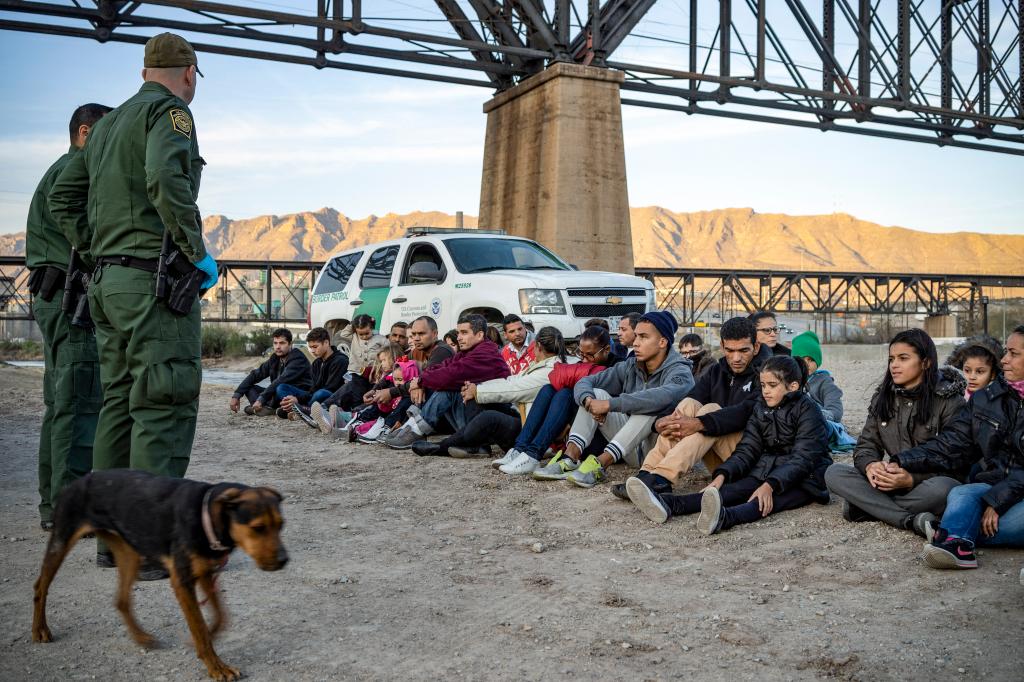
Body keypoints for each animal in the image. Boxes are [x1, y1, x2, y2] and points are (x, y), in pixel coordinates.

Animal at [32, 466, 288, 679]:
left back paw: (141, 637)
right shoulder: (182, 581)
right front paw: (216, 666)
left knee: (121, 600)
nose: (284, 560)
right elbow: (200, 629)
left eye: (281, 524)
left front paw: (207, 638)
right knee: (40, 586)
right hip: (61, 540)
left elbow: (220, 616)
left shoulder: (205, 573)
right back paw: (40, 630)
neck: (204, 515)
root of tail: (77, 481)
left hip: (129, 555)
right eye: (258, 528)